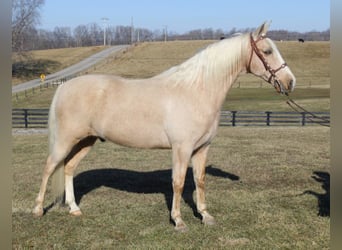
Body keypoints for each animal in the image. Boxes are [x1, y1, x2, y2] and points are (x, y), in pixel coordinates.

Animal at [33, 22, 296, 231]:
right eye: (267, 51)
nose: (290, 82)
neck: (195, 90)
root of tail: (64, 86)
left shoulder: (202, 148)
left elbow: (199, 180)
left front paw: (205, 216)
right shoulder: (182, 148)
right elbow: (178, 183)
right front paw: (178, 221)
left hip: (87, 140)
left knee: (68, 168)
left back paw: (74, 209)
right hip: (65, 140)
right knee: (48, 168)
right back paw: (37, 210)